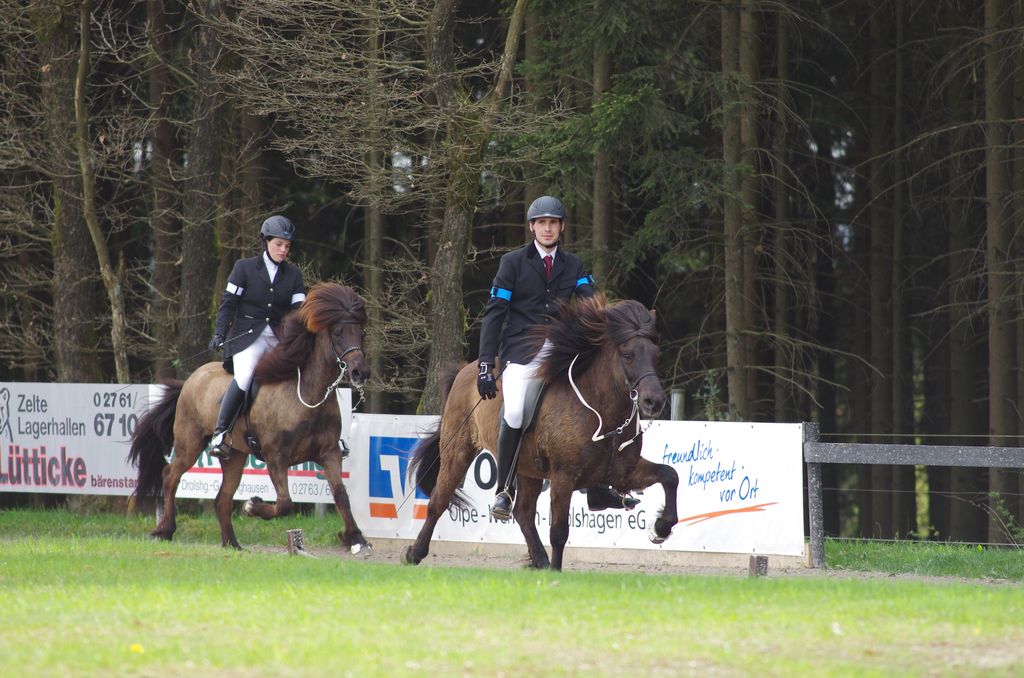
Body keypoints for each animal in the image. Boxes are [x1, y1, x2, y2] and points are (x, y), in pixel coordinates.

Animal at [128, 282, 373, 554]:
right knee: (170, 475)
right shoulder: (275, 456)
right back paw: (165, 530)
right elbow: (285, 503)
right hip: (189, 442)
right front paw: (253, 506)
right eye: (338, 333)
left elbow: (341, 495)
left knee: (222, 498)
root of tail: (191, 379)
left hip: (234, 454)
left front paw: (355, 537)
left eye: (361, 333)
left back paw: (231, 543)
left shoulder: (329, 453)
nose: (360, 372)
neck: (308, 395)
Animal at [403, 294, 679, 570]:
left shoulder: (623, 471)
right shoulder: (563, 477)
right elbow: (559, 532)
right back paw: (415, 553)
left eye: (657, 355)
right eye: (627, 354)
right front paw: (557, 572)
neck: (603, 413)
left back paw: (540, 560)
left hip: (528, 469)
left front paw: (661, 527)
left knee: (523, 512)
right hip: (458, 451)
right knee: (438, 501)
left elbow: (670, 476)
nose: (654, 402)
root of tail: (465, 370)